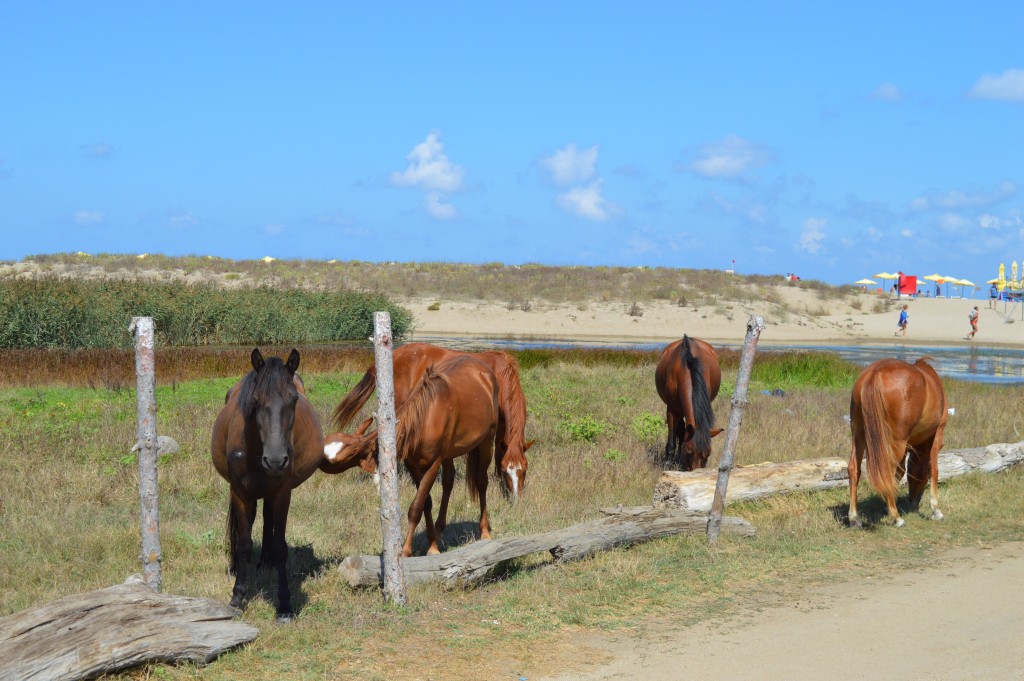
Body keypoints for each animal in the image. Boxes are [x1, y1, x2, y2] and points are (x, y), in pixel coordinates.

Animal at [206, 350, 319, 622]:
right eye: (256, 400)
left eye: (294, 399)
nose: (276, 460)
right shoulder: (239, 493)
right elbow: (245, 544)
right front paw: (237, 597)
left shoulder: (282, 494)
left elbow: (280, 547)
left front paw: (285, 605)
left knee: (268, 520)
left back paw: (266, 562)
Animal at [321, 352, 497, 557]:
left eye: (336, 459)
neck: (423, 419)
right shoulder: (413, 465)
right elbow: (426, 502)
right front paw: (432, 545)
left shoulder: (433, 464)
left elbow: (416, 506)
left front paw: (405, 550)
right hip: (450, 454)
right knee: (448, 481)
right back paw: (440, 529)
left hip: (487, 441)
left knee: (481, 481)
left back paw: (484, 530)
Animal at [329, 346, 532, 532]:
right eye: (508, 472)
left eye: (524, 470)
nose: (516, 499)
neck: (499, 372)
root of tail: (395, 353)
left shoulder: (501, 427)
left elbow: (499, 454)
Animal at [651, 337, 724, 471]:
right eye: (689, 450)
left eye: (708, 453)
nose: (696, 472)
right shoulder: (672, 411)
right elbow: (672, 442)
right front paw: (668, 463)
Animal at [843, 358, 946, 528]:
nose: (913, 500)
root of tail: (874, 374)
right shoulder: (936, 436)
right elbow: (934, 470)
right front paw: (936, 510)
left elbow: (901, 471)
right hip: (896, 441)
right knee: (887, 471)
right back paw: (896, 518)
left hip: (858, 436)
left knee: (854, 469)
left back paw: (854, 518)